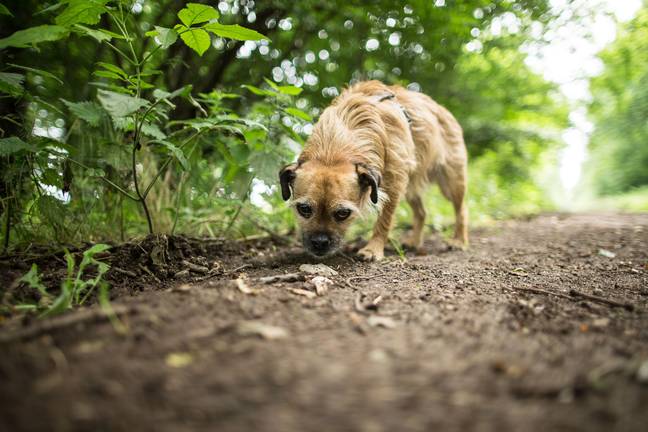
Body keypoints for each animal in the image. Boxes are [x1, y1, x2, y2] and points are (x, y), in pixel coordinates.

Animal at [278, 79, 466, 260]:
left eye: (343, 213)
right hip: (410, 186)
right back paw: (414, 241)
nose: (319, 242)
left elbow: (384, 220)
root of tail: (441, 109)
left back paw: (459, 241)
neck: (332, 152)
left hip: (451, 182)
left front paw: (373, 249)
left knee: (461, 210)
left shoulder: (393, 185)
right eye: (304, 209)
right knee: (421, 212)